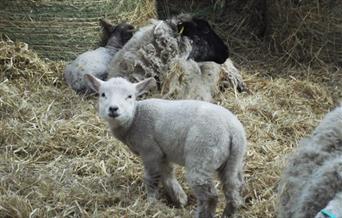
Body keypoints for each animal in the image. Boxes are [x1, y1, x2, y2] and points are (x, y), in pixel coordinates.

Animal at [84, 73, 247, 218]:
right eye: (103, 94)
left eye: (130, 96)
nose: (113, 109)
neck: (135, 118)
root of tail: (232, 131)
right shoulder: (163, 153)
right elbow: (168, 175)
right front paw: (179, 199)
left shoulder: (150, 150)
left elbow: (151, 178)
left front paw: (151, 201)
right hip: (233, 161)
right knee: (233, 190)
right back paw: (228, 213)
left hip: (202, 156)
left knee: (210, 196)